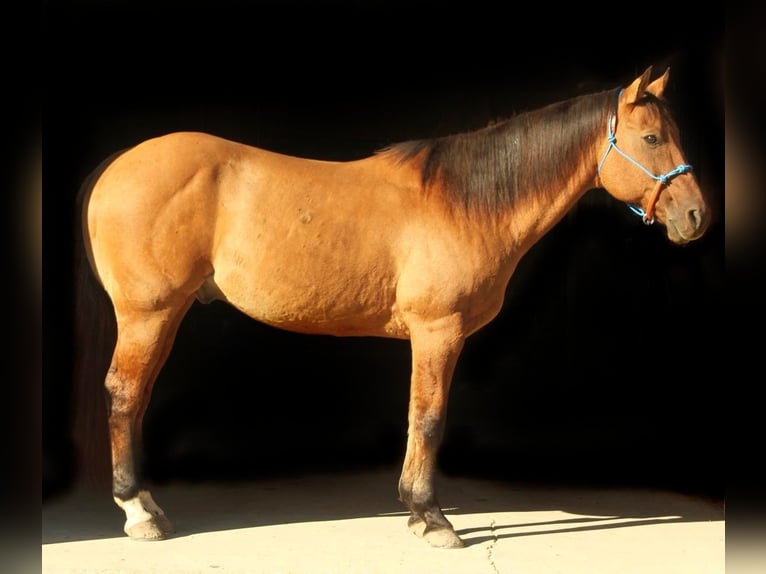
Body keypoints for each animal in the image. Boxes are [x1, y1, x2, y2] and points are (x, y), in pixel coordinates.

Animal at [73, 65, 712, 552]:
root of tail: (114, 167)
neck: (467, 203)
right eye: (653, 139)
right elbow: (427, 419)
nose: (695, 217)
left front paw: (414, 510)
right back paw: (140, 514)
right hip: (150, 314)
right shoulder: (438, 332)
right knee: (124, 396)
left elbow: (418, 417)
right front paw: (432, 518)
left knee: (135, 398)